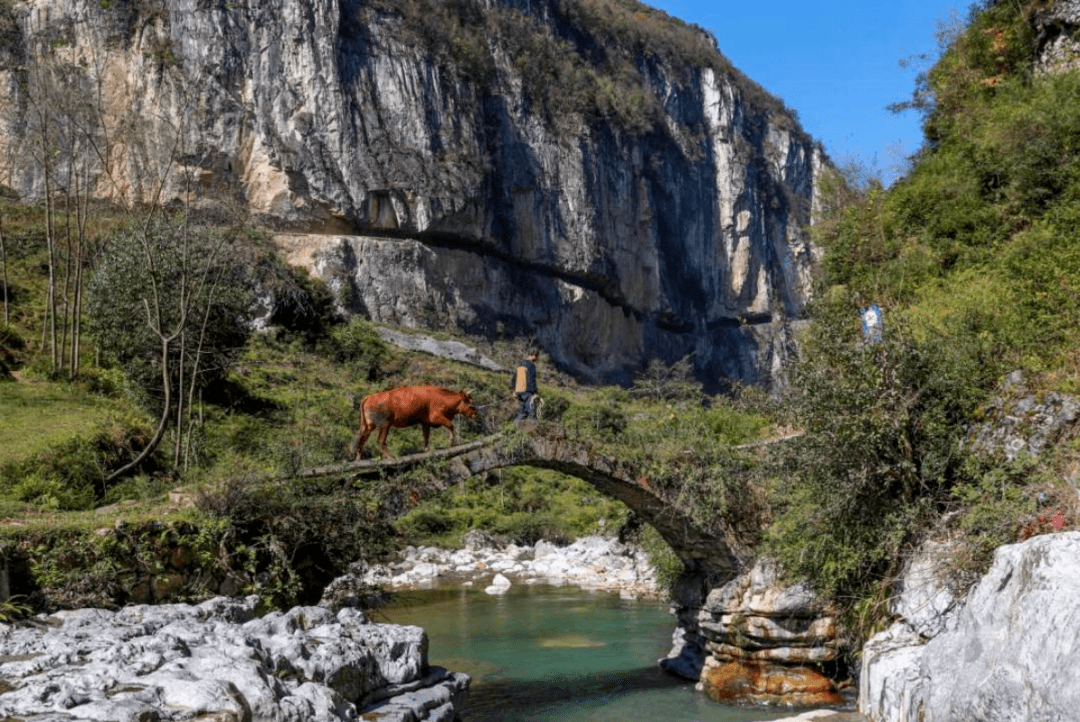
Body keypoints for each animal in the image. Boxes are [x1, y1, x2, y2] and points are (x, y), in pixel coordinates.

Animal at [349, 386, 477, 459]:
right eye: (470, 403)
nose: (476, 413)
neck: (442, 398)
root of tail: (368, 397)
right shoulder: (436, 417)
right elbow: (451, 425)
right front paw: (451, 442)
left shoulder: (425, 422)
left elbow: (426, 436)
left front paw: (426, 449)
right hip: (385, 424)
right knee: (380, 441)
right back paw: (391, 456)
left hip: (367, 426)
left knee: (361, 440)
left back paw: (359, 458)